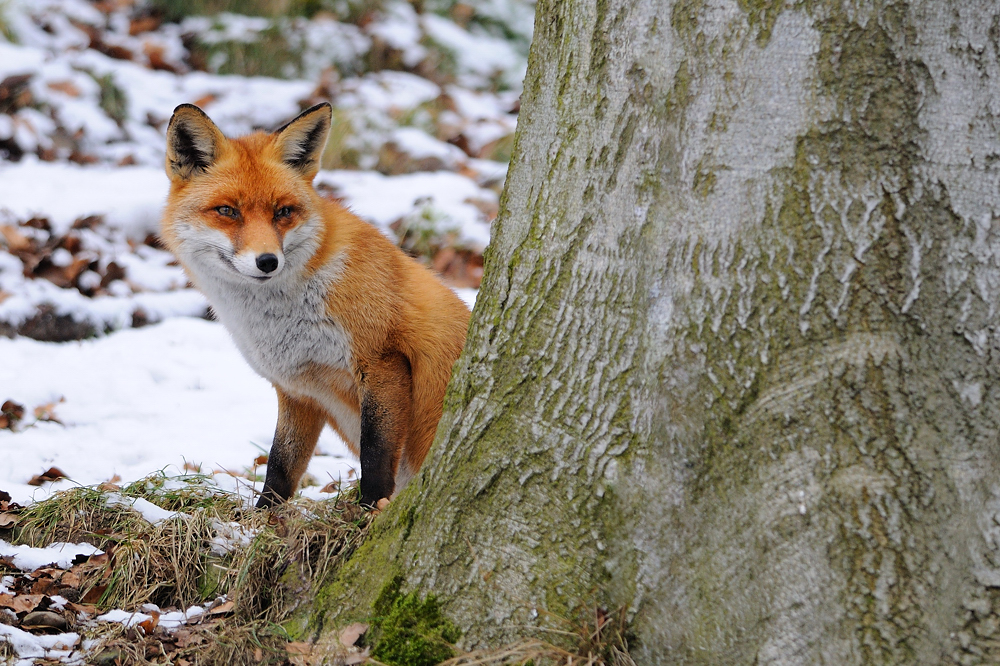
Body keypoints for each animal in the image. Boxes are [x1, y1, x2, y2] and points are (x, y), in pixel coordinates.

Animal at [160, 104, 472, 506]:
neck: (282, 320)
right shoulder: (297, 390)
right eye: (227, 211)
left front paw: (370, 510)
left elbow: (375, 455)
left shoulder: (382, 361)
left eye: (283, 212)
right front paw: (263, 516)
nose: (267, 262)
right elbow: (280, 465)